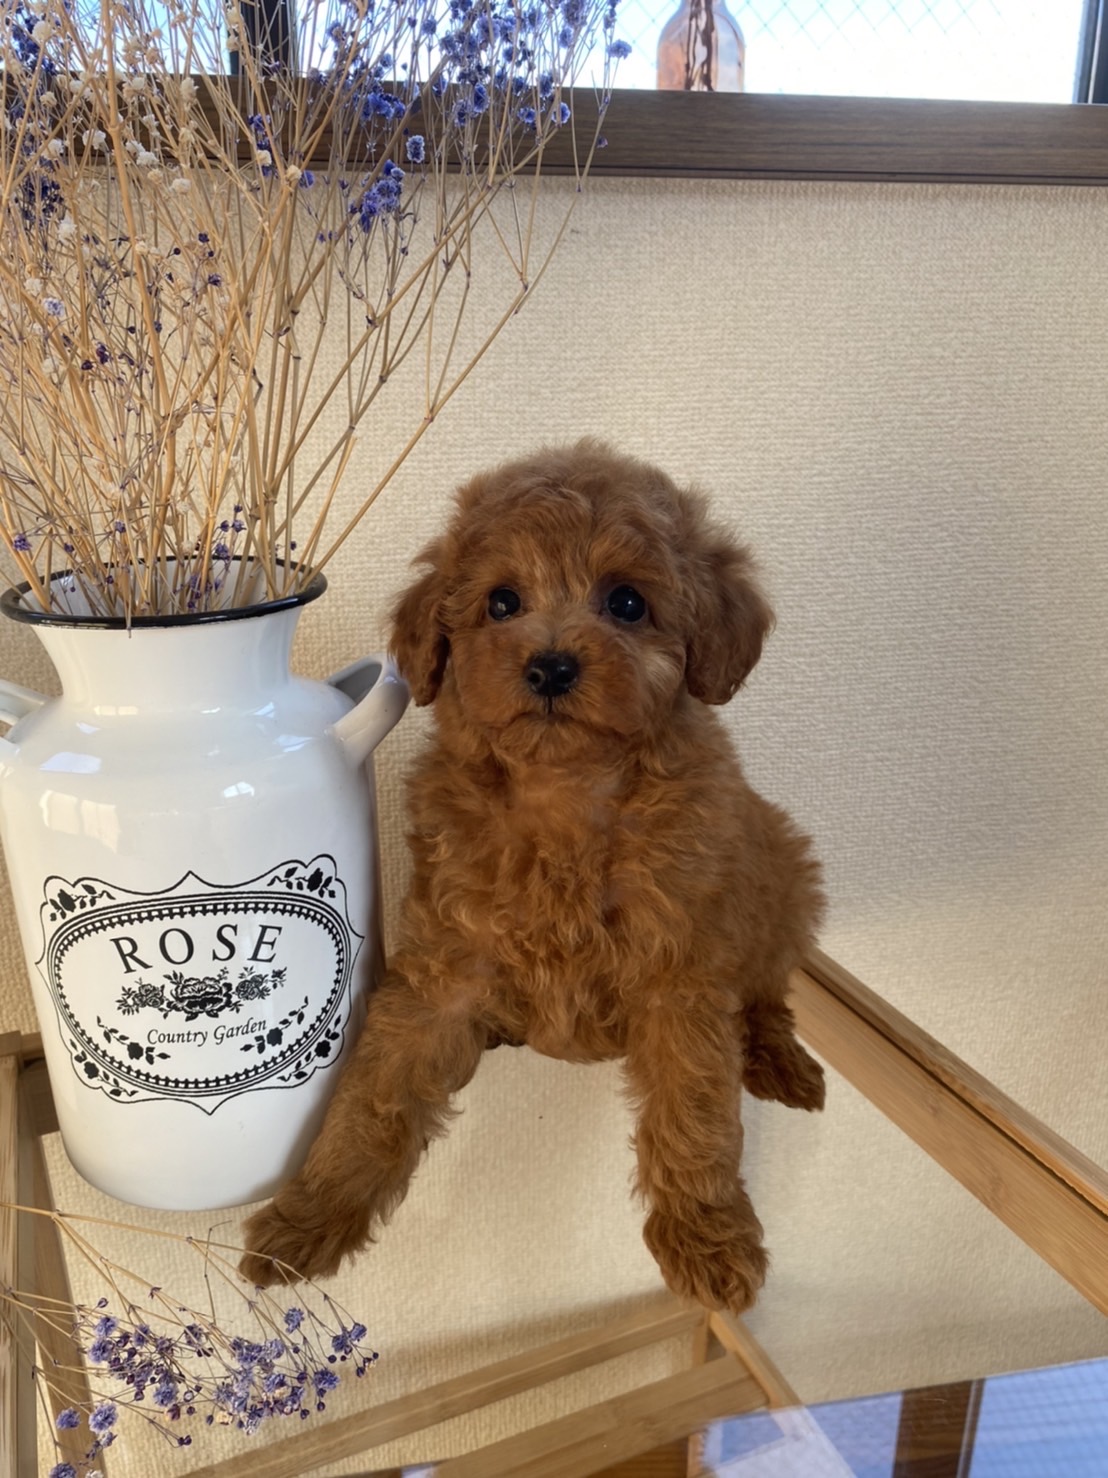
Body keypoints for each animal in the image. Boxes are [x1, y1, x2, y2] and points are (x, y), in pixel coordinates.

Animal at [240, 440, 825, 1312]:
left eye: (627, 602)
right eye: (502, 602)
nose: (550, 666)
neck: (565, 795)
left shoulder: (680, 977)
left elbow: (693, 1110)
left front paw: (708, 1238)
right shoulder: (440, 971)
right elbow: (375, 1095)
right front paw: (306, 1217)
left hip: (785, 870)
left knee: (766, 990)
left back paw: (779, 1058)